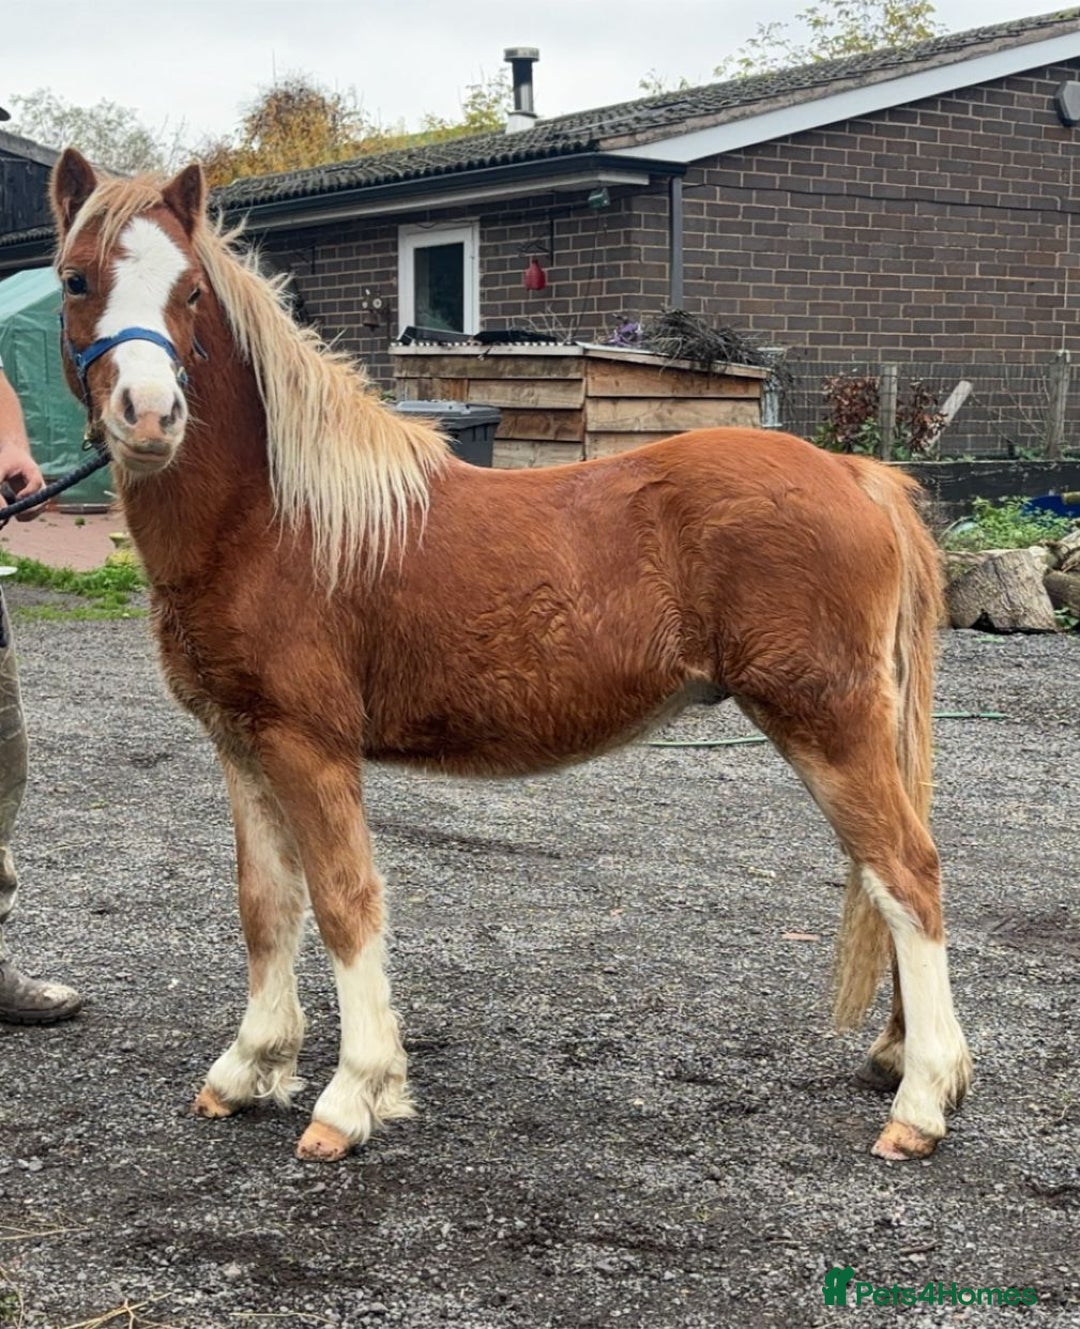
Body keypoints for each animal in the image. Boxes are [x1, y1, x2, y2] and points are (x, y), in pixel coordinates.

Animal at [49, 147, 971, 1164]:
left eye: (193, 292)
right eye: (75, 278)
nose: (150, 413)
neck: (277, 520)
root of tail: (857, 472)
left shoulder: (308, 745)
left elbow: (343, 902)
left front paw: (352, 1095)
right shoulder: (240, 743)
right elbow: (266, 905)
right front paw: (251, 1067)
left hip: (829, 723)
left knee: (907, 875)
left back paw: (921, 1102)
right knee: (887, 881)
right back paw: (900, 1061)